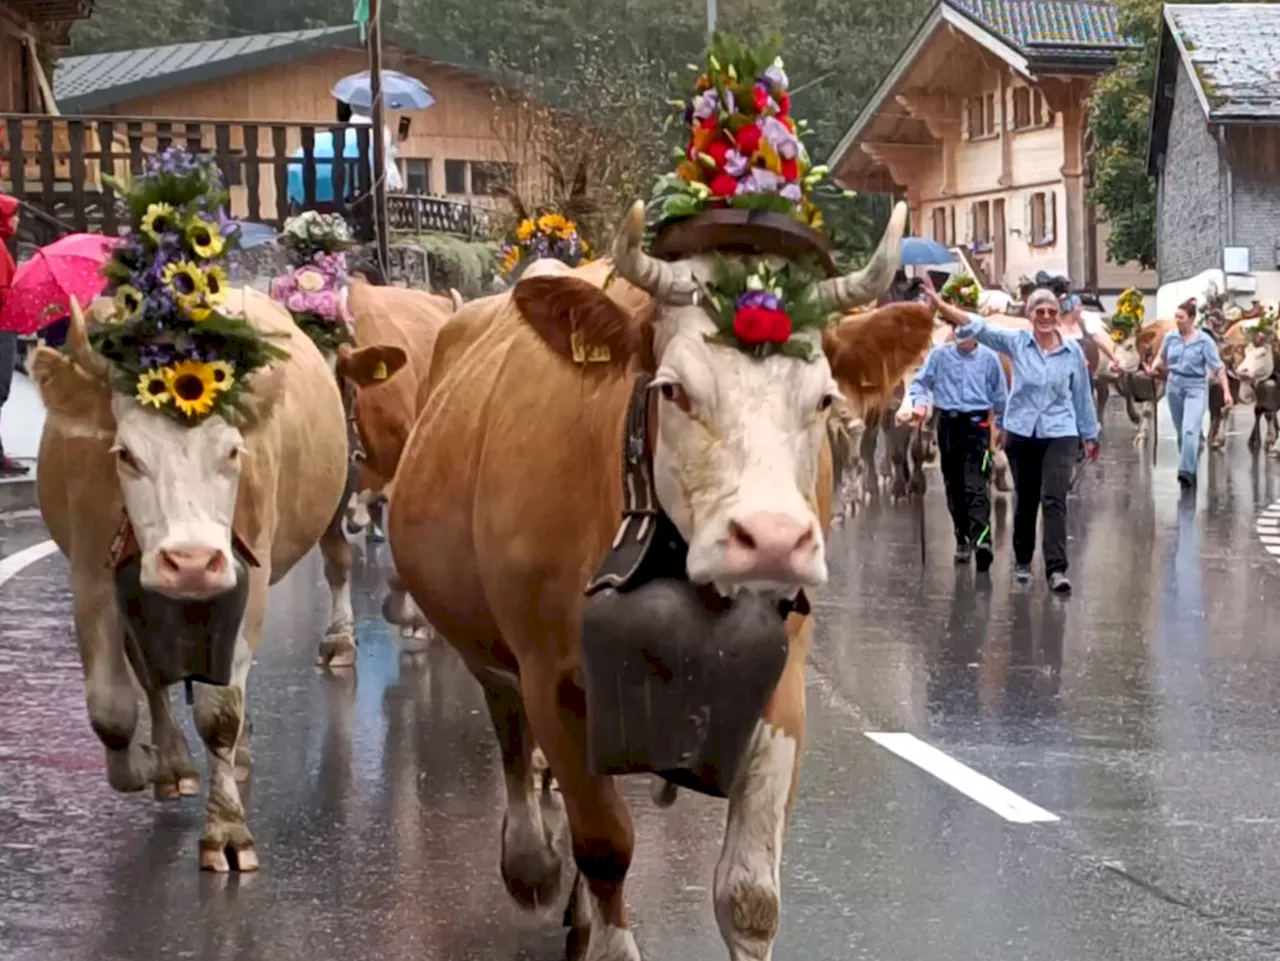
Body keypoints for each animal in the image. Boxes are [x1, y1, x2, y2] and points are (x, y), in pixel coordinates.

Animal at [30, 285, 348, 870]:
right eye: (126, 454)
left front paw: (226, 830)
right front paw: (139, 766)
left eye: (233, 451)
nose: (192, 561)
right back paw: (172, 765)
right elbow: (110, 706)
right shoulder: (90, 576)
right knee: (150, 678)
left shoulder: (247, 577)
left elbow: (220, 710)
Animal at [378, 199, 931, 957]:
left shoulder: (782, 678)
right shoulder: (553, 679)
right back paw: (532, 862)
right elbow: (606, 845)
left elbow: (750, 892)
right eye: (674, 390)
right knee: (513, 734)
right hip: (488, 646)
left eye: (822, 398)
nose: (773, 540)